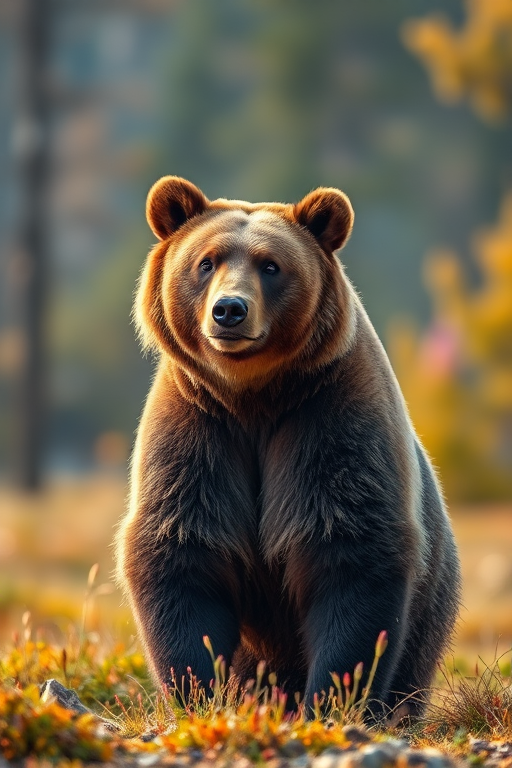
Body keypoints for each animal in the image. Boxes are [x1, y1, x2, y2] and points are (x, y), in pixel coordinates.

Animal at [115, 175, 461, 719]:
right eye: (206, 261)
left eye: (271, 265)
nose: (229, 310)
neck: (254, 396)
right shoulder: (198, 430)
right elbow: (184, 549)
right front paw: (199, 691)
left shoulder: (328, 417)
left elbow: (350, 550)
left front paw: (334, 697)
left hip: (431, 615)